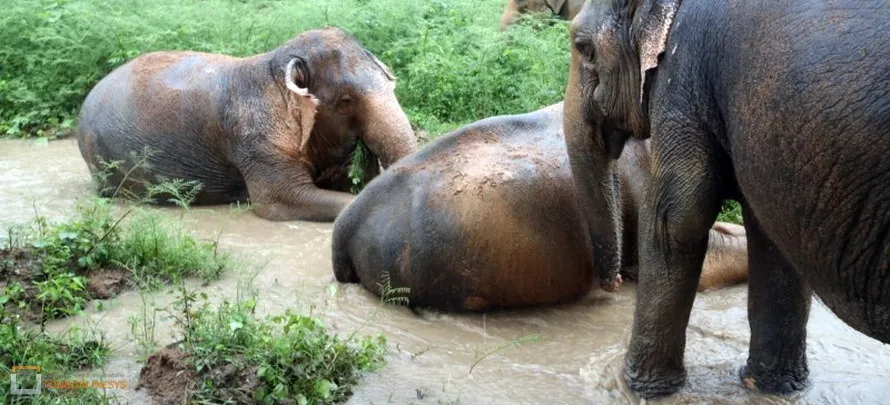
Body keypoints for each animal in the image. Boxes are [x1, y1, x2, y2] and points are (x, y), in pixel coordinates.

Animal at [565, 0, 890, 399]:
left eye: (583, 48)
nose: (612, 285)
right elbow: (770, 235)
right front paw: (770, 388)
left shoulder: (684, 78)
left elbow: (675, 219)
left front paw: (638, 389)